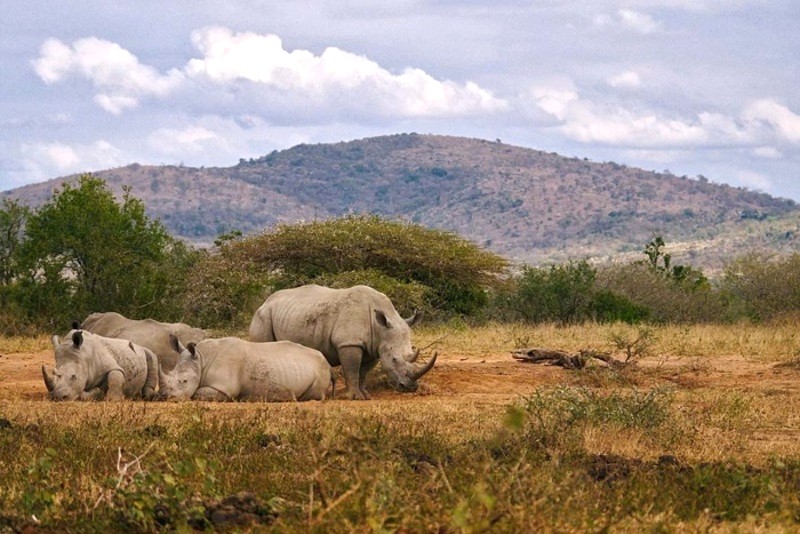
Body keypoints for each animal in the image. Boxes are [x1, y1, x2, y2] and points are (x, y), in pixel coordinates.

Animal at [158, 340, 332, 402]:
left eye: (184, 381)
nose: (165, 396)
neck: (201, 359)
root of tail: (326, 361)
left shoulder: (224, 388)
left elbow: (197, 393)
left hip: (321, 368)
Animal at [250, 286, 438, 400]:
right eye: (394, 359)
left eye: (411, 354)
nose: (410, 387)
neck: (379, 328)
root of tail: (265, 301)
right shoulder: (349, 343)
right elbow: (352, 370)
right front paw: (355, 397)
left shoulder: (374, 348)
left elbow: (363, 373)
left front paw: (366, 395)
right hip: (263, 315)